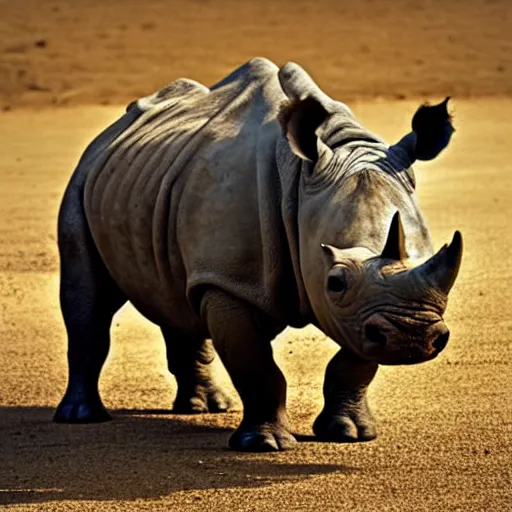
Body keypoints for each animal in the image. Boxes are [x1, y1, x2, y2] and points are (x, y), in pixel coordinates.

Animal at [55, 57, 464, 452]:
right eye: (335, 282)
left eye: (437, 263)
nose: (412, 337)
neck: (302, 182)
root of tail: (112, 132)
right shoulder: (228, 280)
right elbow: (255, 365)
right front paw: (264, 444)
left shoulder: (370, 310)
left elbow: (355, 362)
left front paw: (350, 434)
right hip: (82, 177)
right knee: (88, 299)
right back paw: (82, 416)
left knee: (175, 295)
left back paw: (206, 407)